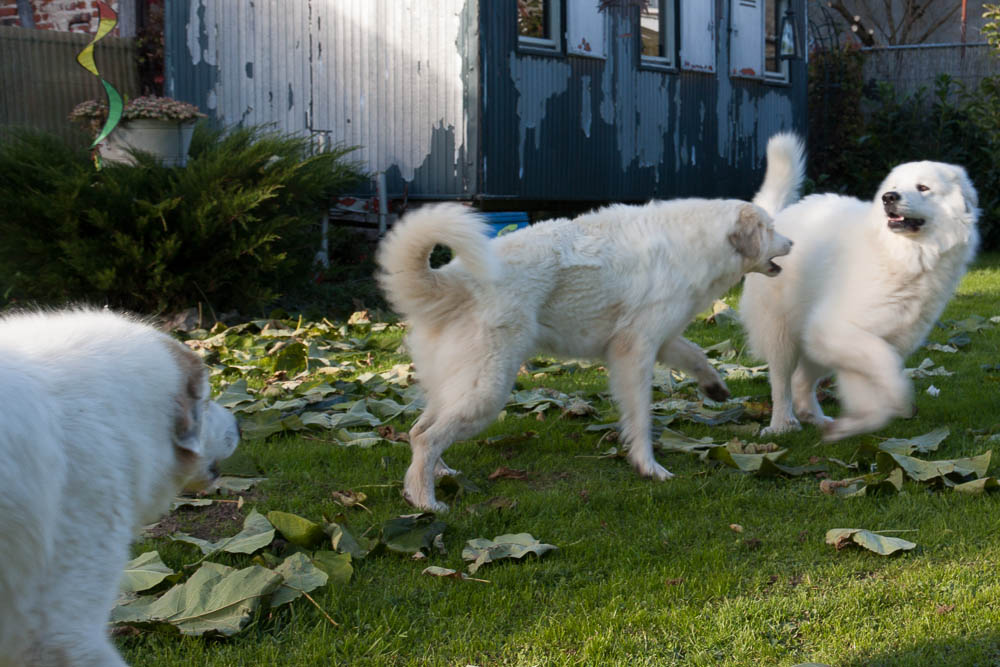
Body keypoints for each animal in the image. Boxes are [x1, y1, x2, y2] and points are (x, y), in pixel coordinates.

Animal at [378, 198, 792, 512]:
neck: (693, 243)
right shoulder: (635, 350)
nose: (791, 242)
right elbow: (641, 417)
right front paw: (648, 466)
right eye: (770, 229)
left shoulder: (659, 337)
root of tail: (451, 280)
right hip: (486, 392)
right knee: (426, 439)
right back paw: (425, 501)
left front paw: (715, 388)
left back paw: (440, 474)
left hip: (457, 387)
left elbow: (695, 355)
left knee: (418, 430)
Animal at [744, 133, 976, 440]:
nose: (889, 198)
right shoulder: (839, 329)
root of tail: (777, 221)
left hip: (813, 343)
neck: (901, 255)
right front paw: (899, 400)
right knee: (782, 383)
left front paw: (858, 424)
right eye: (892, 188)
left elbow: (873, 386)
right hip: (783, 335)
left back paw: (817, 419)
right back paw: (782, 424)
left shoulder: (871, 340)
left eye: (923, 187)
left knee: (801, 381)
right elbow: (886, 364)